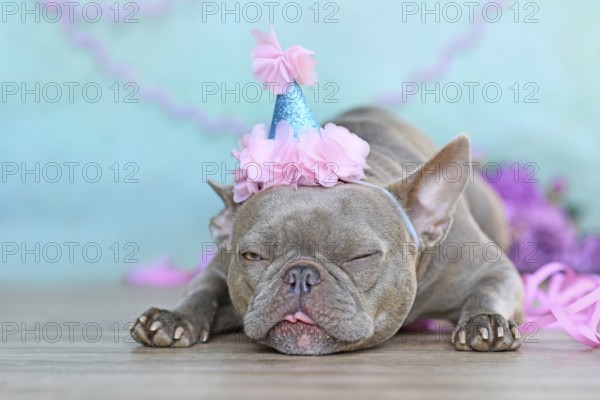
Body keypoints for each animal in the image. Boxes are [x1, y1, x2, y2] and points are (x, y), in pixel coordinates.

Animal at [129, 106, 524, 354]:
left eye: (361, 256)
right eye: (253, 256)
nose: (301, 275)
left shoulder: (491, 269)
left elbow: (489, 289)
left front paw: (485, 322)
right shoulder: (219, 269)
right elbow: (202, 290)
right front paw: (175, 317)